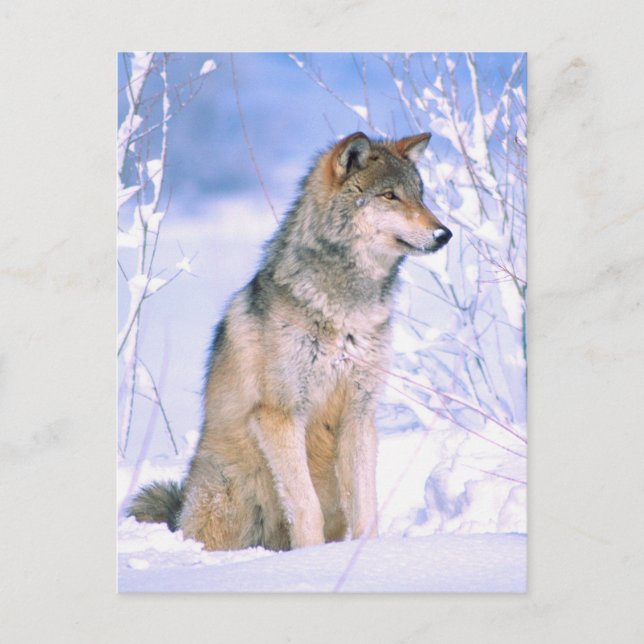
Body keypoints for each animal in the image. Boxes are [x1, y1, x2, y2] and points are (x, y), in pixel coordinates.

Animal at [127, 131, 452, 550]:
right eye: (390, 196)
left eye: (420, 195)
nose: (444, 233)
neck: (346, 312)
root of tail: (179, 513)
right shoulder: (279, 415)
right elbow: (305, 506)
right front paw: (311, 557)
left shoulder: (359, 415)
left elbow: (367, 508)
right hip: (229, 495)